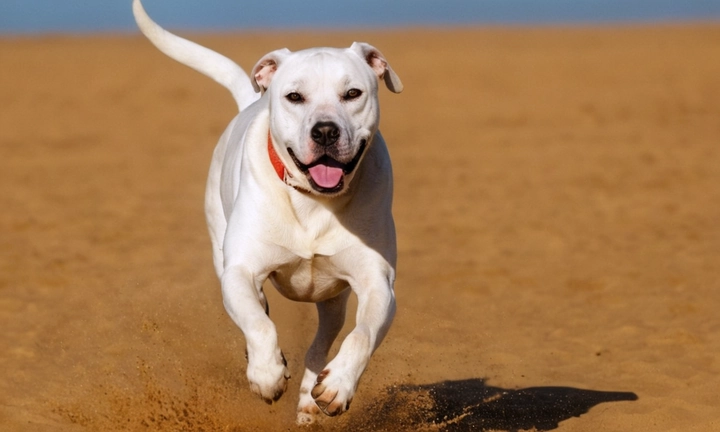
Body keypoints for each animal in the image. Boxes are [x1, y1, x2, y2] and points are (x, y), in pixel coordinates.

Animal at [132, 0, 402, 426]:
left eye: (353, 93)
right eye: (294, 96)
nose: (325, 131)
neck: (313, 200)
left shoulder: (378, 283)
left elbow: (362, 335)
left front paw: (338, 385)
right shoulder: (241, 271)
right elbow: (259, 325)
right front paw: (267, 374)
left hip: (333, 298)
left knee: (323, 340)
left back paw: (310, 397)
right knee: (259, 310)